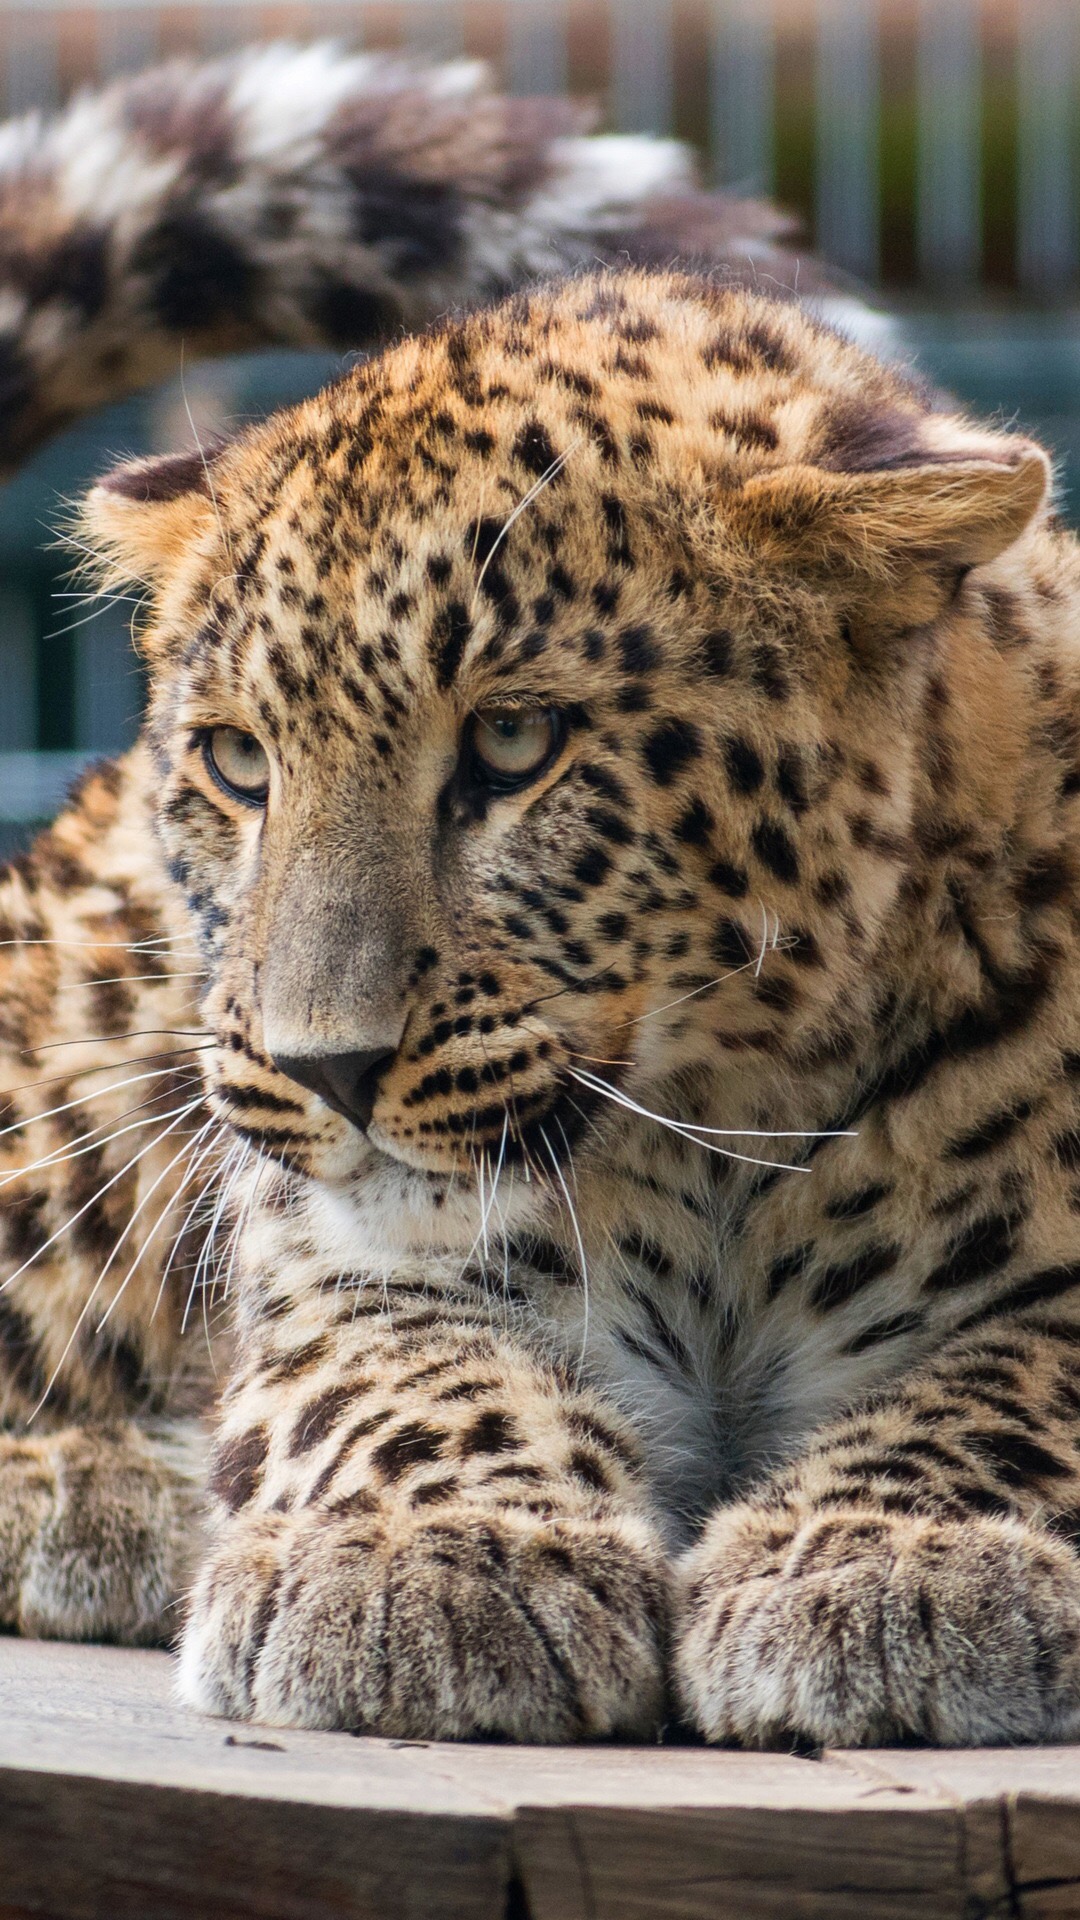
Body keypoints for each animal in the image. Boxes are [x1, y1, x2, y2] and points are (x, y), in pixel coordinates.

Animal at [2, 58, 1080, 1756]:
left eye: (514, 745)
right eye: (241, 760)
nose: (327, 1071)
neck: (731, 1119)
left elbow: (1005, 1388)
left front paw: (890, 1558)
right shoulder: (356, 1265)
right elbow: (408, 1384)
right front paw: (434, 1558)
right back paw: (96, 1490)